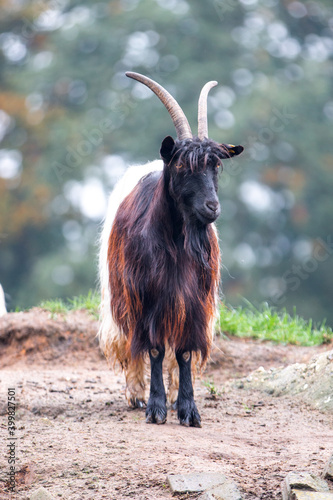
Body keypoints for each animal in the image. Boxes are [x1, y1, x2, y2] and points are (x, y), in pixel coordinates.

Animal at [97, 72, 243, 428]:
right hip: (119, 295)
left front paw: (188, 408)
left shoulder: (192, 302)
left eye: (215, 167)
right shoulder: (147, 296)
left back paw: (174, 393)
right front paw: (154, 406)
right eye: (180, 167)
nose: (211, 207)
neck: (176, 247)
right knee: (130, 342)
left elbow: (184, 351)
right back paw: (135, 392)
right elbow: (153, 350)